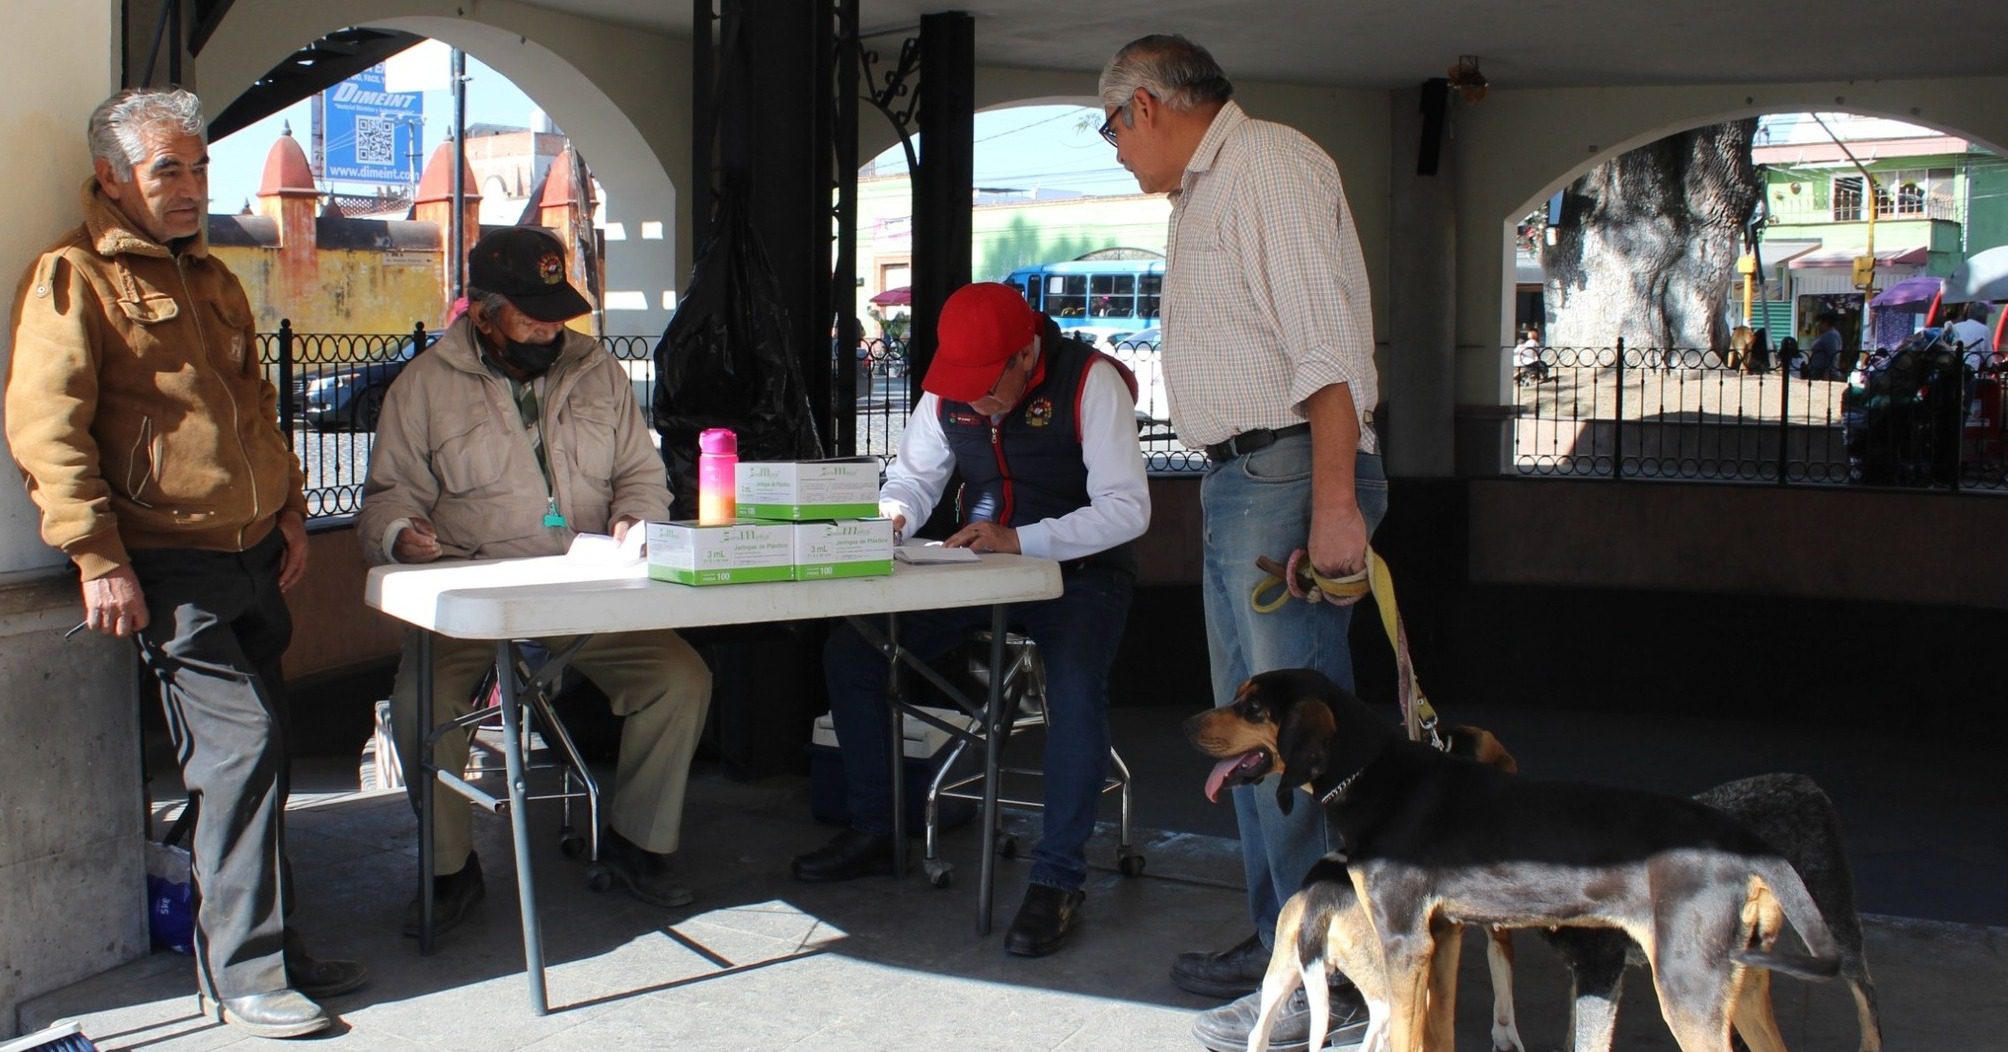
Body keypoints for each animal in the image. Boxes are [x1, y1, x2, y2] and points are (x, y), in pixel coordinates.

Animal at [1180, 674, 1839, 1052]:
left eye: (1253, 708)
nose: (1186, 723)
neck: (1377, 774)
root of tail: (1748, 844)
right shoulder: (1442, 938)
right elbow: (1435, 1033)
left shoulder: (1403, 943)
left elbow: (1403, 1034)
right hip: (1740, 987)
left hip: (1687, 986)